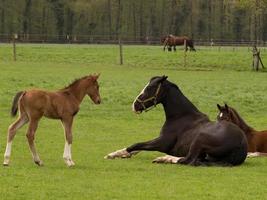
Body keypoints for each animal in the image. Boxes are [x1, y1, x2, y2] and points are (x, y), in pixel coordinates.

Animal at [105, 75, 248, 166]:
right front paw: (116, 154)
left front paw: (117, 154)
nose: (134, 106)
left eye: (149, 88)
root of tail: (241, 143)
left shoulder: (162, 143)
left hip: (199, 140)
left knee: (187, 160)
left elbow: (136, 144)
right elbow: (138, 147)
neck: (181, 116)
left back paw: (164, 158)